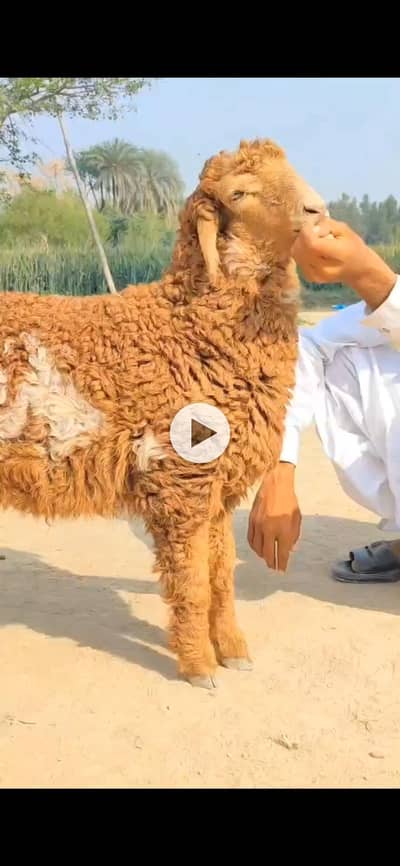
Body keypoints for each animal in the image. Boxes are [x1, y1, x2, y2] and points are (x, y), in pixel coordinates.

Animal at [0, 138, 325, 689]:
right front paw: (199, 667)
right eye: (239, 193)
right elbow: (192, 580)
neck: (187, 326)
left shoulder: (216, 489)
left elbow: (221, 574)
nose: (318, 210)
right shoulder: (180, 481)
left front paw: (232, 650)